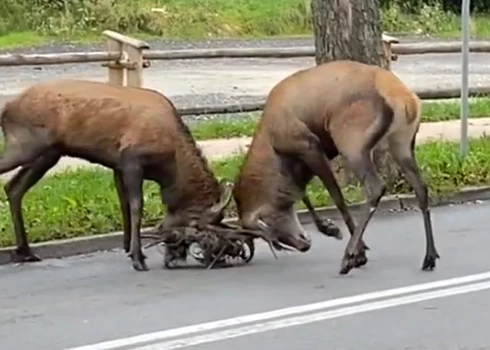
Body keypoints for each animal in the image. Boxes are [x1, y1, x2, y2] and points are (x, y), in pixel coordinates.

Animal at [0, 78, 244, 270]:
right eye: (198, 226)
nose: (219, 256)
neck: (170, 169)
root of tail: (7, 108)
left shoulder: (117, 166)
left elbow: (124, 205)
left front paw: (131, 250)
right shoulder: (131, 161)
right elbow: (136, 206)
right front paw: (137, 258)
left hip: (49, 153)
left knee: (14, 187)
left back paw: (25, 251)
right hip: (26, 145)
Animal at [233, 58, 440, 274]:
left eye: (269, 225)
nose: (303, 245)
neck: (273, 147)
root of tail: (407, 100)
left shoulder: (310, 145)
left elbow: (336, 197)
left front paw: (359, 252)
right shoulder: (316, 155)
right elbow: (303, 193)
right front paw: (330, 228)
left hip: (351, 141)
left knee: (375, 187)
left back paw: (348, 257)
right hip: (402, 142)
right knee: (421, 187)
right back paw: (429, 257)